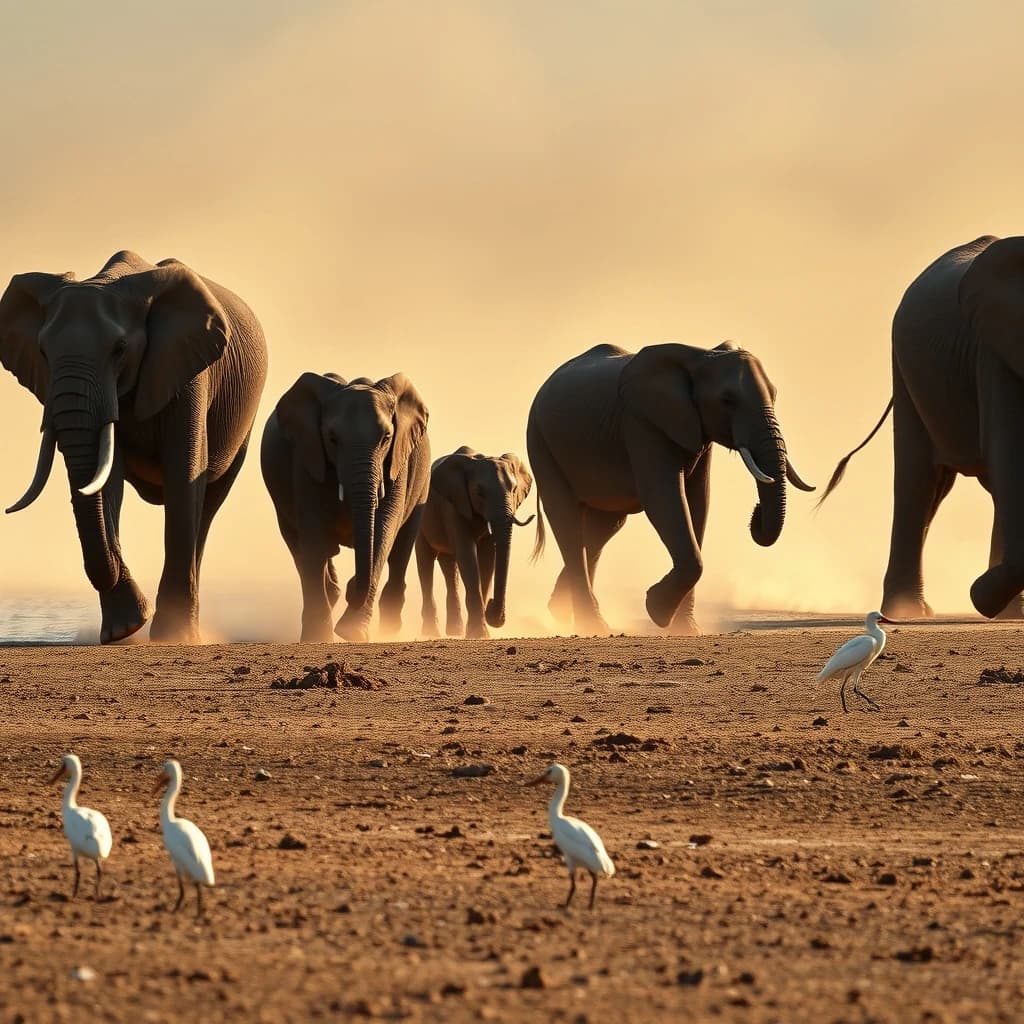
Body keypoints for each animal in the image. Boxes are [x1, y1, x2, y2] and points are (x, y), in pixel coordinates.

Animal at [0, 250, 267, 643]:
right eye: (43, 353)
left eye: (120, 349)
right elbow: (107, 479)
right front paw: (123, 630)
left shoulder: (187, 371)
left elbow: (183, 474)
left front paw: (171, 637)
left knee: (208, 504)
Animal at [260, 371, 431, 642]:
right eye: (332, 438)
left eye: (386, 438)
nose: (353, 589)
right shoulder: (307, 456)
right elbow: (314, 531)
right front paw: (318, 638)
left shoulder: (397, 461)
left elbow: (383, 529)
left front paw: (352, 632)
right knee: (299, 544)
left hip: (421, 485)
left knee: (402, 545)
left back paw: (389, 629)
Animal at [416, 446, 534, 639]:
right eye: (479, 493)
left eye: (514, 489)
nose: (492, 609)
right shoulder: (455, 504)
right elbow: (468, 556)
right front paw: (479, 634)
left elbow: (487, 559)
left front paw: (481, 631)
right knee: (425, 560)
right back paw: (432, 634)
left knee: (449, 565)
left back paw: (455, 632)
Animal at [526, 342, 814, 635]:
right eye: (727, 400)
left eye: (775, 395)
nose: (755, 514)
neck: (700, 356)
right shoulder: (642, 423)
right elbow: (664, 498)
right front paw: (656, 610)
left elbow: (698, 501)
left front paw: (686, 629)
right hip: (539, 439)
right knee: (567, 519)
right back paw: (593, 626)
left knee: (604, 526)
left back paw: (559, 611)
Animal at [819, 235, 1024, 620]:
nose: (976, 591)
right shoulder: (995, 350)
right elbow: (1008, 456)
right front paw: (980, 596)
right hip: (905, 367)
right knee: (921, 482)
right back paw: (909, 611)